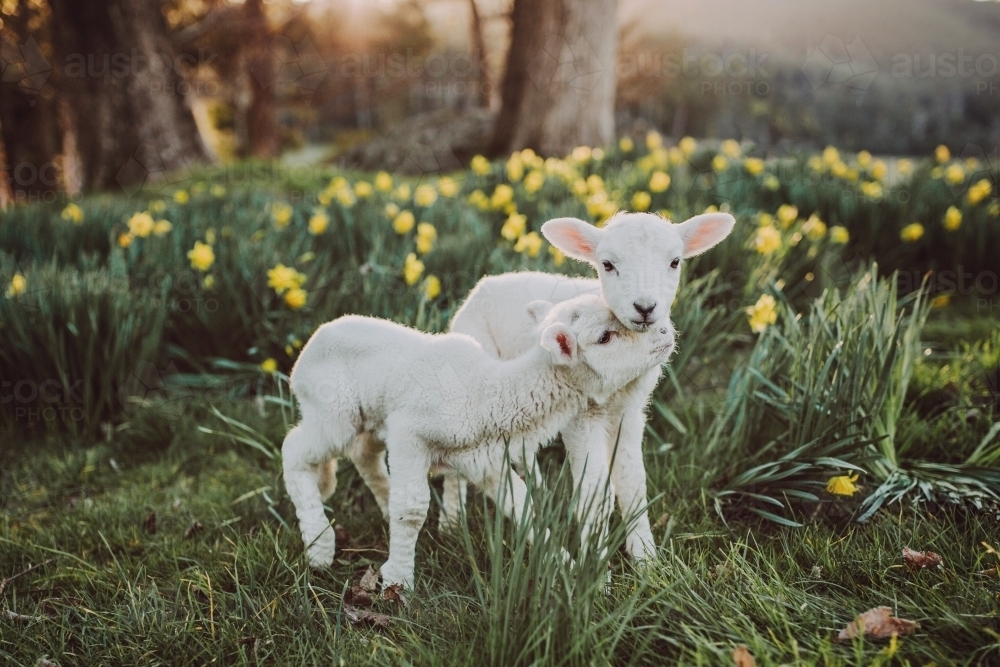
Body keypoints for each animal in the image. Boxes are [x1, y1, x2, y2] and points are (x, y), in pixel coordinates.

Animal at [278, 294, 676, 588]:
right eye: (605, 337)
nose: (665, 332)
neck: (487, 392)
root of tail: (311, 344)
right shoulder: (409, 432)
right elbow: (411, 509)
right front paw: (398, 582)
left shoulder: (487, 460)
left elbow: (525, 510)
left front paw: (571, 570)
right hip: (334, 412)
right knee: (295, 449)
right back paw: (319, 545)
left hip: (372, 418)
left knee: (363, 454)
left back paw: (380, 502)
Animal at [444, 211, 736, 560]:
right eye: (607, 264)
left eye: (675, 262)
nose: (645, 308)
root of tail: (484, 284)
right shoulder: (580, 417)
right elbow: (594, 493)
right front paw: (594, 562)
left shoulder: (631, 410)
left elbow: (632, 482)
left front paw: (646, 558)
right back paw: (450, 522)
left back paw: (537, 491)